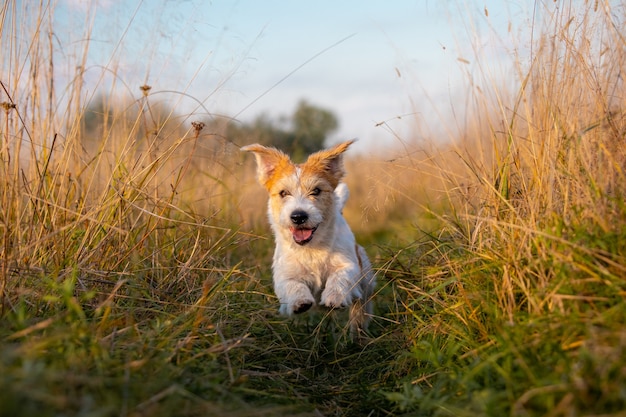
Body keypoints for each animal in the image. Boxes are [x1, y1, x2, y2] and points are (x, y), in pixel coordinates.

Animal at [241, 139, 372, 334]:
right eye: (283, 193)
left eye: (316, 191)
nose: (298, 216)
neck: (311, 247)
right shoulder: (283, 275)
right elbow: (293, 284)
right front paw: (299, 301)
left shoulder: (349, 265)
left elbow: (339, 276)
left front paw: (334, 297)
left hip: (366, 282)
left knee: (361, 308)